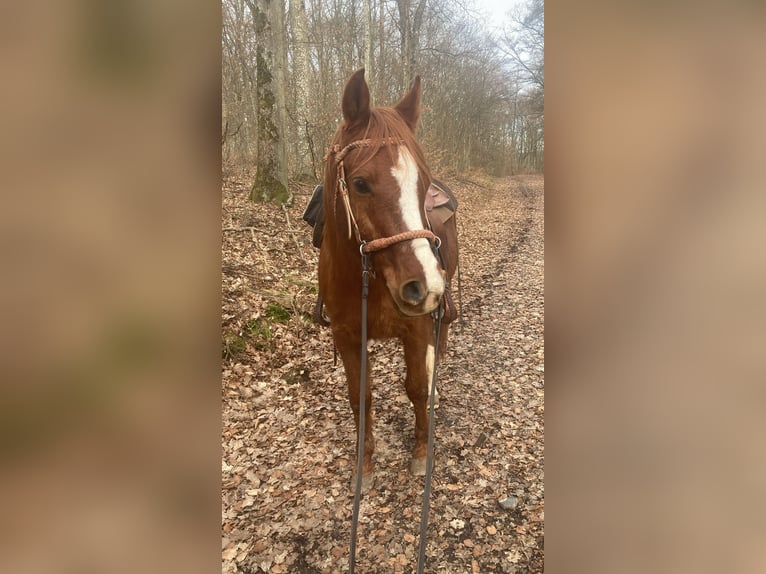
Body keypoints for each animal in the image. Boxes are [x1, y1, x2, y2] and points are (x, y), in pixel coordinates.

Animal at [320, 67, 460, 490]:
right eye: (361, 183)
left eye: (422, 183)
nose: (424, 285)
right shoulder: (348, 337)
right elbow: (360, 398)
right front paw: (363, 468)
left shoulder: (415, 329)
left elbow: (414, 388)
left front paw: (420, 453)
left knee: (439, 344)